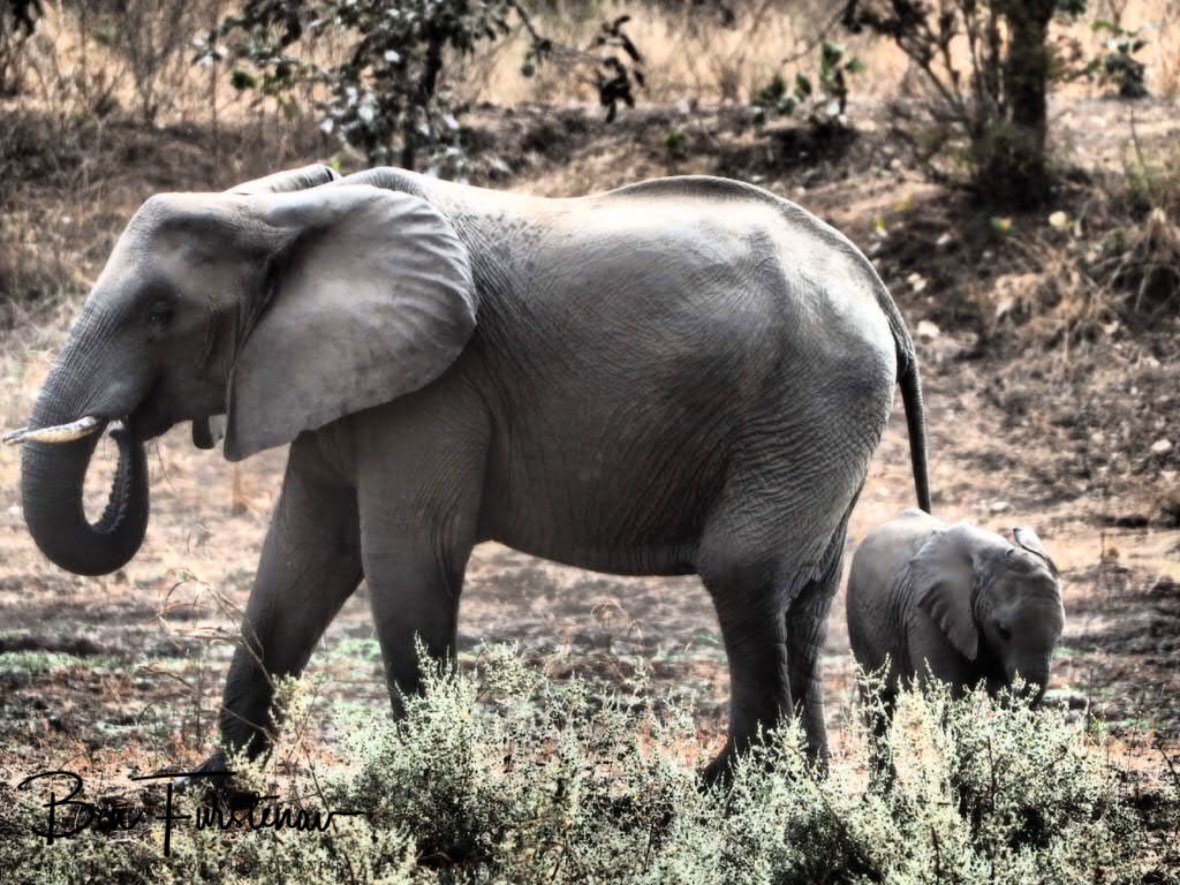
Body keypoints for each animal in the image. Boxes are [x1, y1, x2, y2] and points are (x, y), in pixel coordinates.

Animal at [7, 164, 931, 781]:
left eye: (161, 313)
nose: (124, 428)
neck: (279, 211)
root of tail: (874, 287)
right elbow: (300, 556)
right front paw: (218, 782)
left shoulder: (438, 389)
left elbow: (403, 555)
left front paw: (425, 787)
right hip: (817, 421)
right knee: (803, 594)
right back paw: (802, 787)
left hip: (808, 400)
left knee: (745, 575)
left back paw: (729, 790)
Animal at [846, 509, 1064, 713]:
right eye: (1003, 630)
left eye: (1059, 633)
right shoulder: (927, 615)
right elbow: (947, 696)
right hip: (858, 619)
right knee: (877, 696)